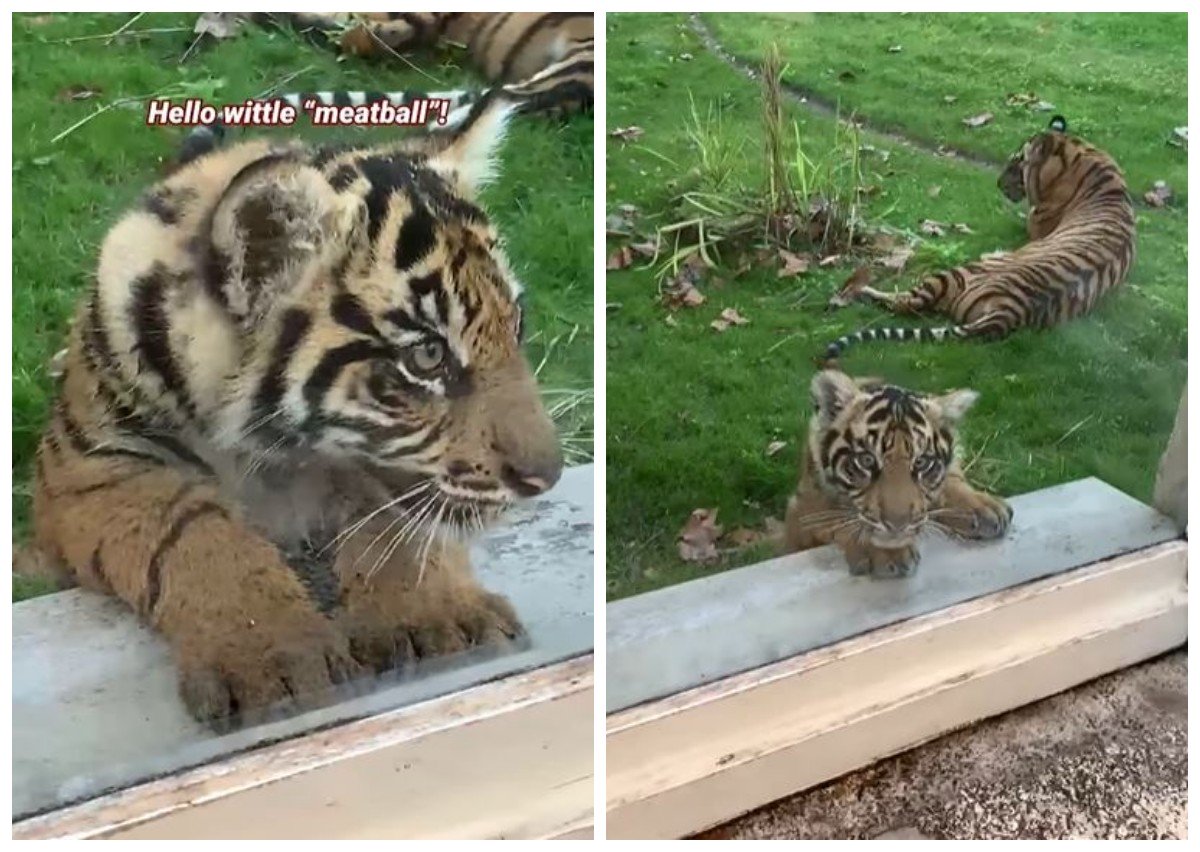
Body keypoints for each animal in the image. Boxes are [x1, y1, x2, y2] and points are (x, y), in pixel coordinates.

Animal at [28, 95, 561, 734]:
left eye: (516, 325)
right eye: (427, 355)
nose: (546, 478)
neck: (267, 456)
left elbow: (392, 517)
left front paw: (443, 617)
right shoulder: (90, 469)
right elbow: (191, 527)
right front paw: (276, 657)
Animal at [777, 369, 1012, 578]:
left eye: (921, 462)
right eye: (866, 460)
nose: (898, 525)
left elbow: (950, 480)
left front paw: (982, 506)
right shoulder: (801, 514)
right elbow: (836, 520)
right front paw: (886, 553)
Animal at [825, 115, 1132, 362]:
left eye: (1018, 162)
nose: (998, 183)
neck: (1082, 156)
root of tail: (1010, 311)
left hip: (955, 274)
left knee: (905, 302)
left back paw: (858, 289)